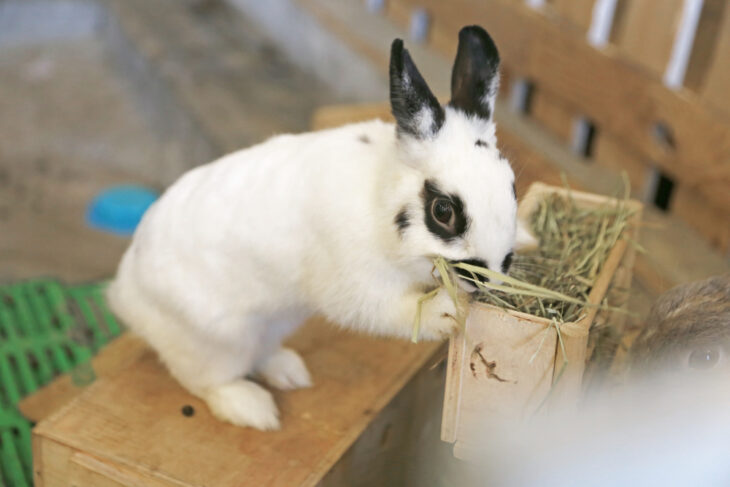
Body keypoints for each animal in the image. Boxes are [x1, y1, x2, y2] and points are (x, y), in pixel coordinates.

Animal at [107, 25, 523, 430]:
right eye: (443, 211)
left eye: (513, 185)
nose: (487, 277)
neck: (378, 195)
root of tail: (125, 292)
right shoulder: (354, 283)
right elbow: (388, 310)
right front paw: (445, 313)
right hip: (216, 342)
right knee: (206, 381)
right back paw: (254, 409)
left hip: (272, 324)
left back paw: (289, 372)